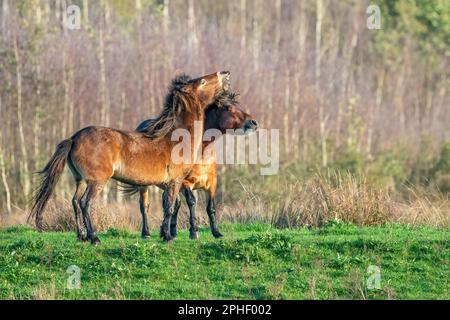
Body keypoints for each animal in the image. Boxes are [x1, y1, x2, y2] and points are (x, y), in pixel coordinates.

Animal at [29, 71, 230, 244]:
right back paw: (94, 238)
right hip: (97, 181)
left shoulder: (168, 184)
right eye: (202, 81)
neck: (176, 138)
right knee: (85, 203)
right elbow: (170, 207)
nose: (225, 74)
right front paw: (168, 237)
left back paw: (82, 236)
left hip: (81, 180)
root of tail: (74, 138)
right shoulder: (175, 182)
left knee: (75, 202)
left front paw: (166, 234)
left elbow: (168, 207)